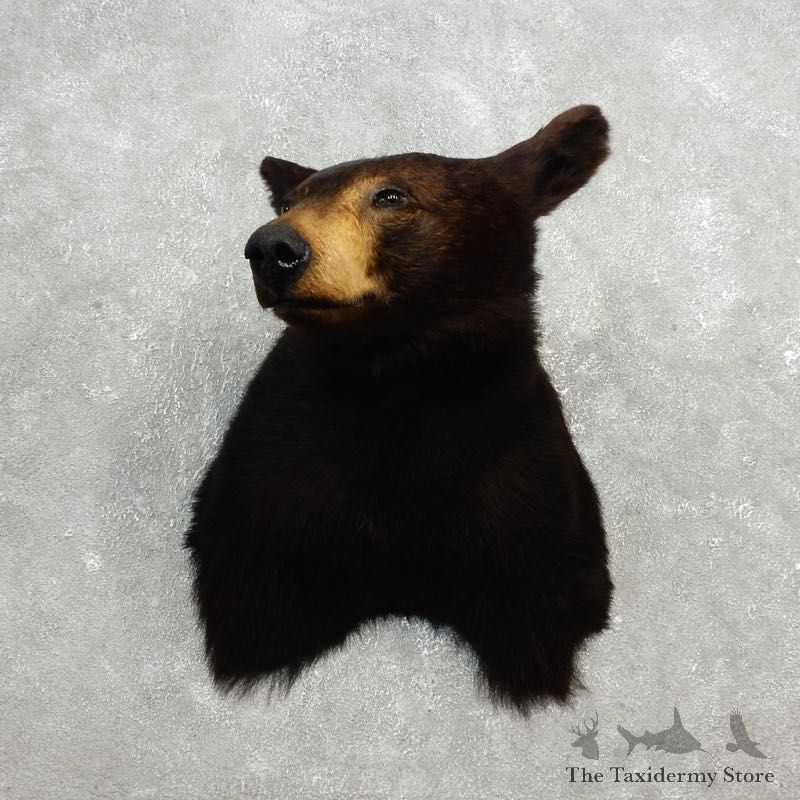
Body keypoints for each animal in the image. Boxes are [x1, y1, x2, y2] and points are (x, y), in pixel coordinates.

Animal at [185, 105, 613, 713]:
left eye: (391, 196)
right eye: (289, 203)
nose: (271, 248)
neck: (396, 377)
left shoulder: (530, 503)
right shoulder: (268, 493)